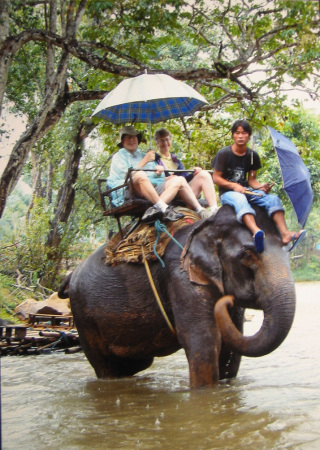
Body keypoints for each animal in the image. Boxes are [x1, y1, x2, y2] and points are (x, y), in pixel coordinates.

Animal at [58, 206, 296, 388]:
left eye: (289, 251)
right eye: (247, 255)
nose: (226, 301)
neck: (207, 228)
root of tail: (71, 274)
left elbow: (230, 347)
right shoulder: (180, 276)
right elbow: (203, 340)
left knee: (134, 364)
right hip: (84, 316)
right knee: (105, 365)